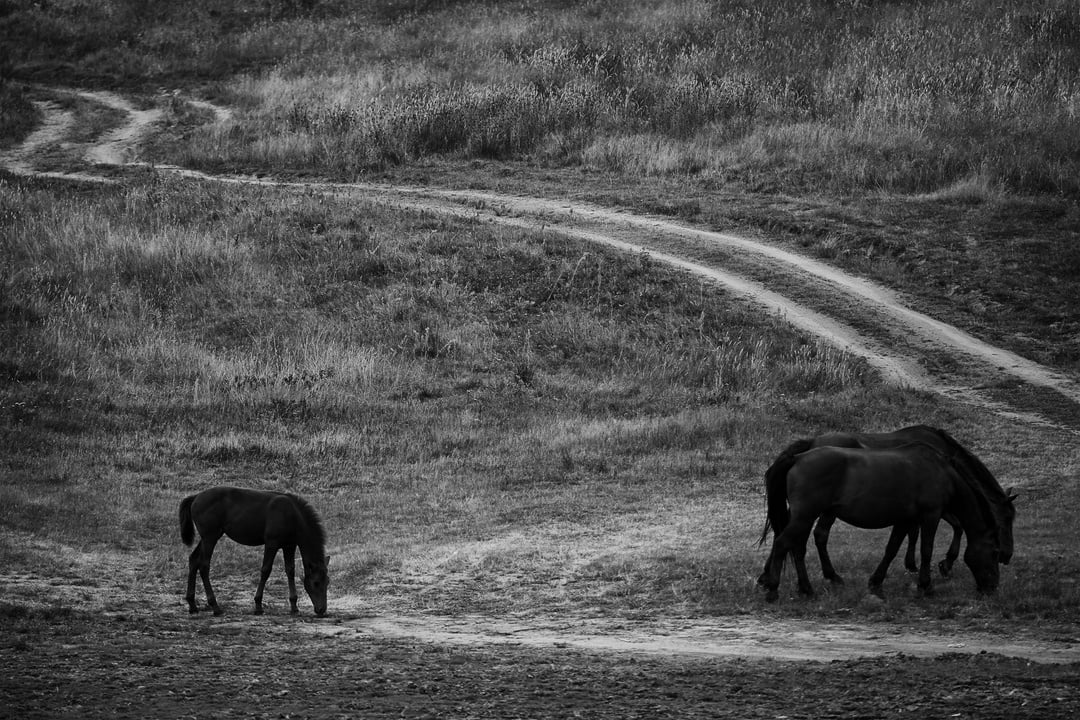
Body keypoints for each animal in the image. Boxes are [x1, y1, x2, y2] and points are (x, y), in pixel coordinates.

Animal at [180, 487, 328, 617]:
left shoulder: (289, 546)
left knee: (193, 560)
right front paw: (258, 606)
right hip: (210, 537)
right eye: (316, 583)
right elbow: (266, 570)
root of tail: (196, 497)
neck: (291, 514)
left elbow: (290, 570)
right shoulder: (271, 544)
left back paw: (192, 605)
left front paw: (294, 607)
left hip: (208, 537)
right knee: (204, 566)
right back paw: (215, 607)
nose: (321, 610)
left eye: (327, 582)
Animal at [760, 423, 1010, 587]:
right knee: (809, 537)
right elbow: (932, 540)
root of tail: (802, 453)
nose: (1006, 558)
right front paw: (932, 571)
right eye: (994, 550)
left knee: (794, 536)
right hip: (814, 512)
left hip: (811, 512)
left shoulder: (911, 516)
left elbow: (898, 543)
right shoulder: (933, 512)